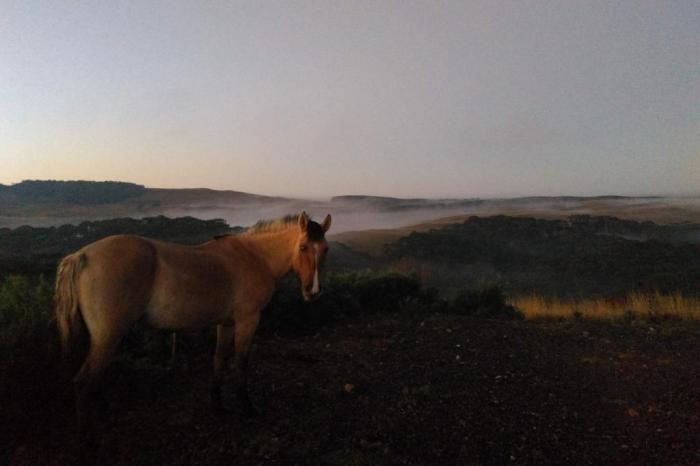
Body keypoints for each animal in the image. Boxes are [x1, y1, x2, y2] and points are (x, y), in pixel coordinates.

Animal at [53, 211, 332, 430]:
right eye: (303, 247)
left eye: (325, 249)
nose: (314, 291)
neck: (255, 256)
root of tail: (81, 255)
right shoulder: (247, 320)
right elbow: (241, 362)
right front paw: (247, 407)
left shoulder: (226, 323)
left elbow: (219, 359)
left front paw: (217, 405)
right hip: (108, 336)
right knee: (84, 382)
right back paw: (88, 437)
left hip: (104, 338)